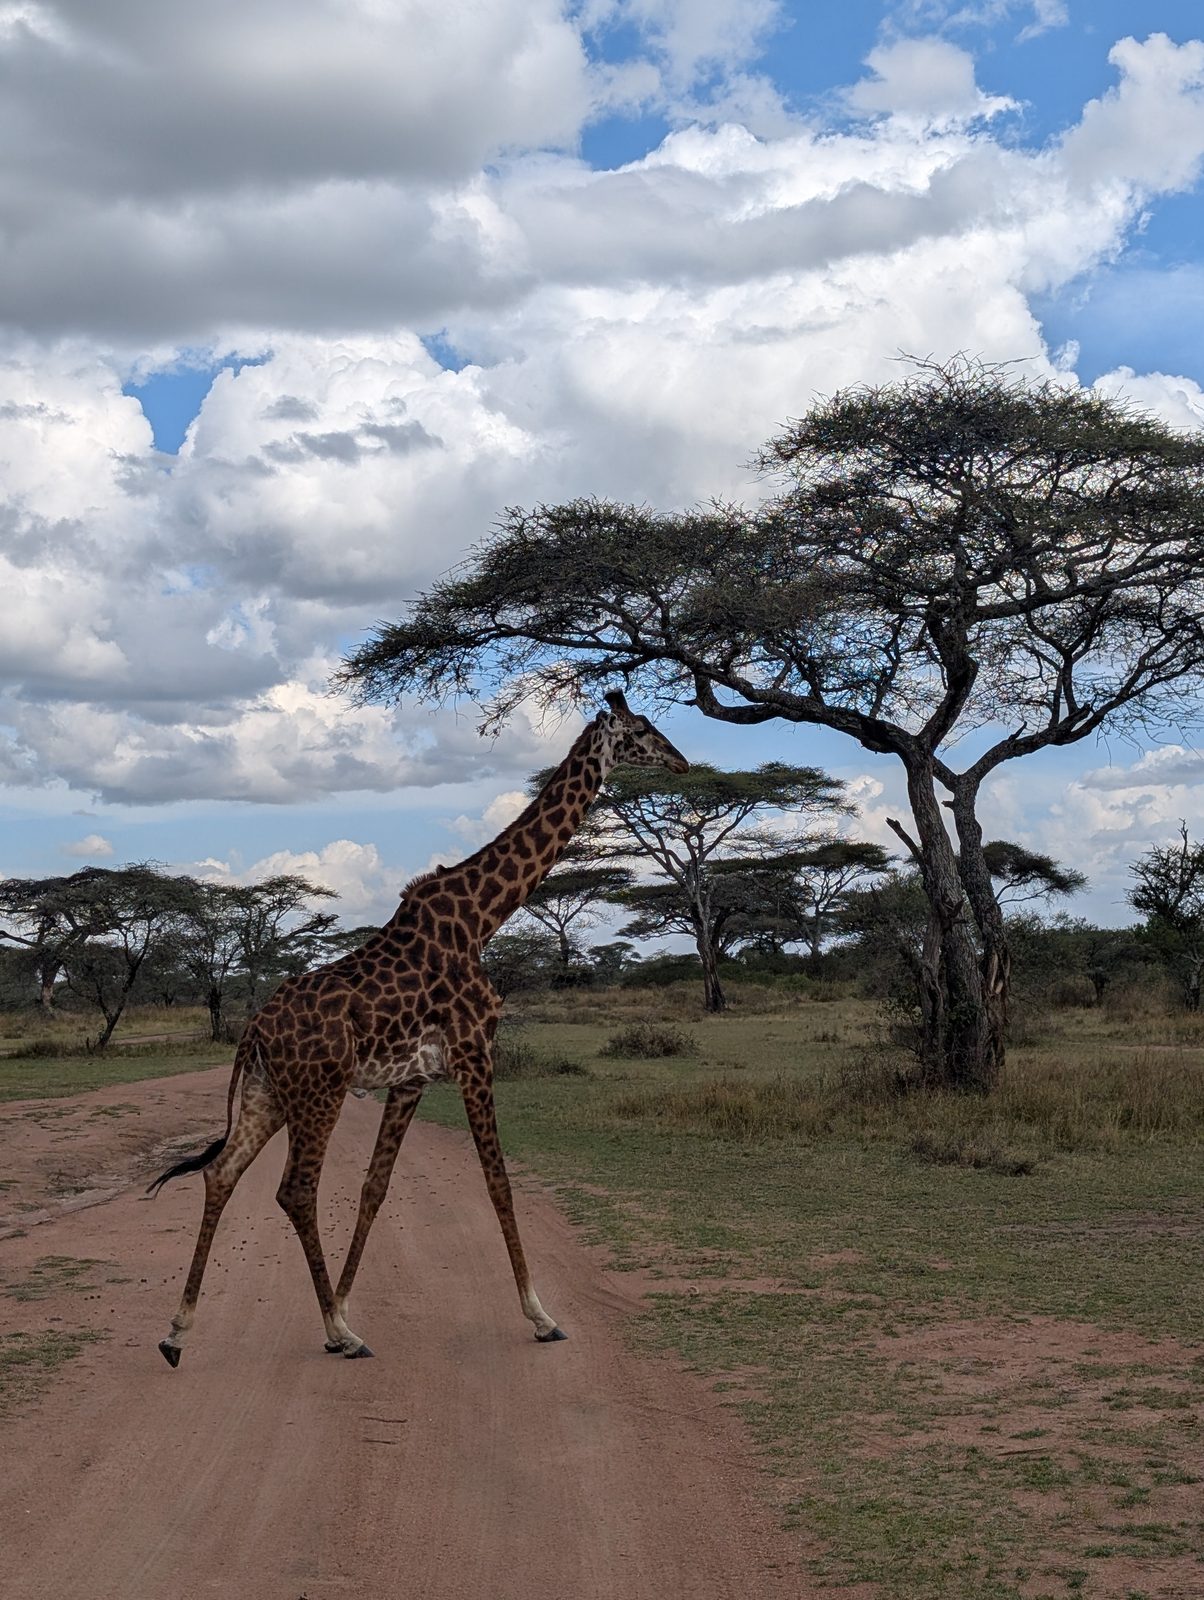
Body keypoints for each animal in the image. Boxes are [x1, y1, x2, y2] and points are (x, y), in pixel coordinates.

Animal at [149, 691, 688, 1366]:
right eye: (643, 730)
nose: (684, 763)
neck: (481, 916)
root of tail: (255, 1031)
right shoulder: (475, 1052)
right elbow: (499, 1183)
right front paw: (540, 1316)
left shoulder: (413, 1079)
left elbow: (374, 1189)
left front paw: (345, 1300)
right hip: (318, 1092)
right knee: (295, 1190)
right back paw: (340, 1334)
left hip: (267, 1093)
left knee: (222, 1173)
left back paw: (178, 1331)